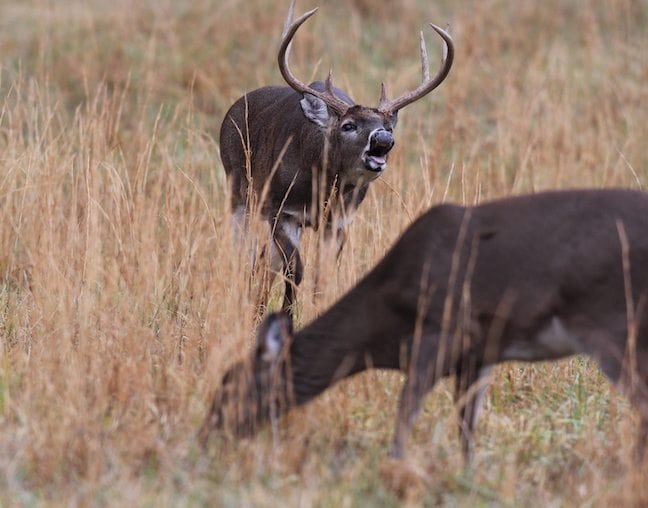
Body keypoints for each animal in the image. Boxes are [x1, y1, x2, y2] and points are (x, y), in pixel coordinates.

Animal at [199, 190, 648, 464]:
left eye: (230, 384)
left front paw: (395, 468)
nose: (207, 433)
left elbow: (405, 411)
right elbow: (466, 428)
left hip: (614, 322)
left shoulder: (441, 329)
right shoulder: (478, 352)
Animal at [220, 1, 454, 316]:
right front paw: (288, 315)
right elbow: (295, 271)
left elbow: (322, 277)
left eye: (389, 126)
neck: (320, 192)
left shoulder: (340, 222)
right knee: (245, 256)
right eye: (348, 125)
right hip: (238, 190)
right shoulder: (282, 210)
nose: (383, 139)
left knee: (264, 261)